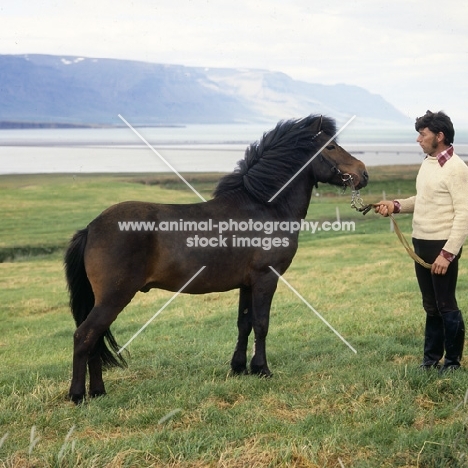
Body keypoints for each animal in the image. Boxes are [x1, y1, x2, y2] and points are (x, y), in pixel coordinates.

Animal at [64, 115, 368, 404]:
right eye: (331, 146)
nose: (363, 173)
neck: (264, 207)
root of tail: (91, 228)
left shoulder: (247, 284)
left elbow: (244, 324)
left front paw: (240, 367)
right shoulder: (265, 279)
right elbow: (262, 324)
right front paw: (262, 368)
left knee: (94, 339)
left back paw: (98, 392)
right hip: (114, 297)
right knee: (85, 336)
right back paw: (78, 395)